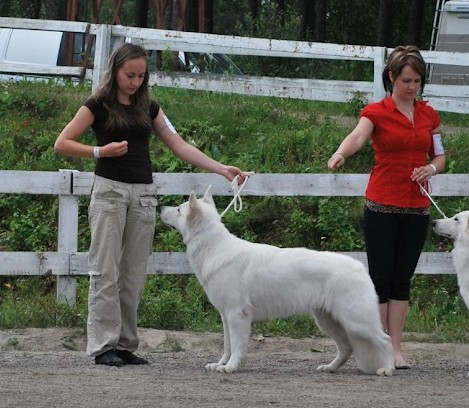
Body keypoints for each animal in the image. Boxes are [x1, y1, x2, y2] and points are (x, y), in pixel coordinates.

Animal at [159, 189, 394, 376]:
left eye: (178, 209)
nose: (160, 206)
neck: (213, 246)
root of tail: (360, 267)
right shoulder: (226, 316)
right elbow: (227, 345)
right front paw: (220, 364)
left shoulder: (237, 314)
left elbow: (236, 345)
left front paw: (231, 367)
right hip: (328, 321)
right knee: (346, 348)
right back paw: (330, 368)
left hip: (355, 321)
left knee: (385, 340)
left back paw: (388, 369)